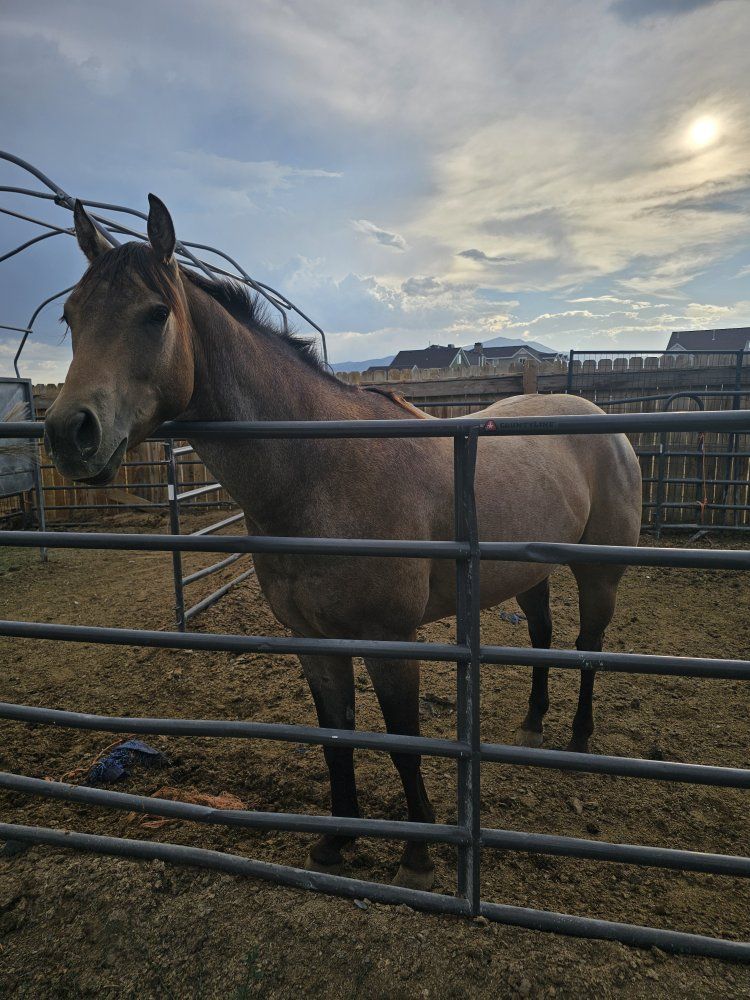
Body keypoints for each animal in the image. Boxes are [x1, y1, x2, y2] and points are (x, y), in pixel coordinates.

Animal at [43, 196, 642, 890]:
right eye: (70, 315)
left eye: (156, 313)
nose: (69, 432)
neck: (323, 470)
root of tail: (603, 423)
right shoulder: (313, 641)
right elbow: (338, 738)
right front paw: (338, 839)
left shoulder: (388, 640)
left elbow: (401, 740)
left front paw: (417, 858)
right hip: (529, 571)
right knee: (543, 637)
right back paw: (532, 726)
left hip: (598, 573)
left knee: (589, 645)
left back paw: (577, 739)